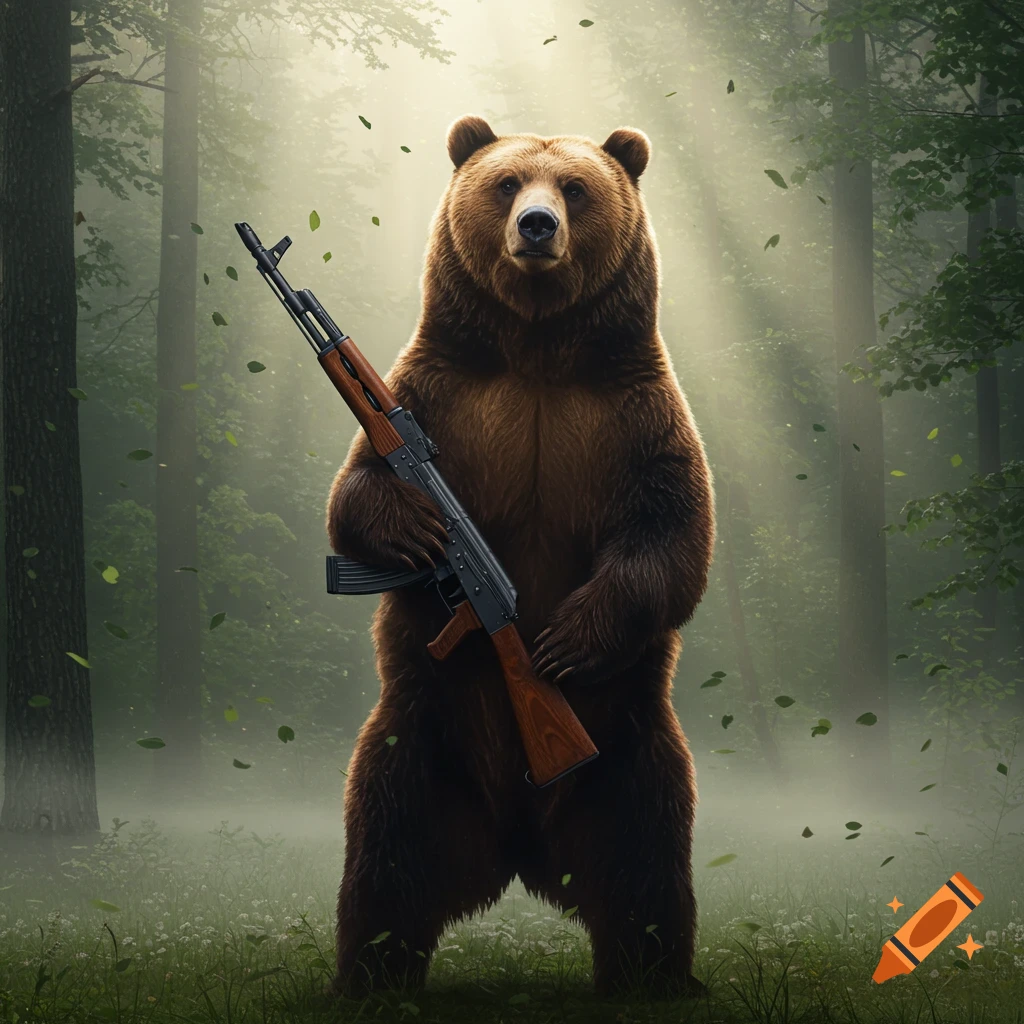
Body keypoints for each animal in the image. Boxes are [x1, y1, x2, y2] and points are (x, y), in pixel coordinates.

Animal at [326, 115, 715, 999]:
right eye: (506, 183)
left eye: (574, 186)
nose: (536, 227)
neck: (537, 350)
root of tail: (521, 848)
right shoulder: (439, 390)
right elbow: (352, 499)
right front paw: (415, 527)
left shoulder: (634, 413)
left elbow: (671, 533)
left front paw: (569, 639)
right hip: (418, 746)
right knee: (387, 864)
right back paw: (370, 976)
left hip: (630, 755)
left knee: (646, 869)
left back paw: (653, 978)